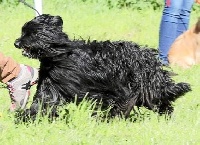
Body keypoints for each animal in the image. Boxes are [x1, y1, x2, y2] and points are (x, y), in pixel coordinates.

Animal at [14, 13, 191, 120]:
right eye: (23, 32)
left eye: (30, 33)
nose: (16, 43)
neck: (59, 55)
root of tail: (151, 61)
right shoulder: (52, 84)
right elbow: (44, 101)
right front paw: (27, 117)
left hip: (142, 86)